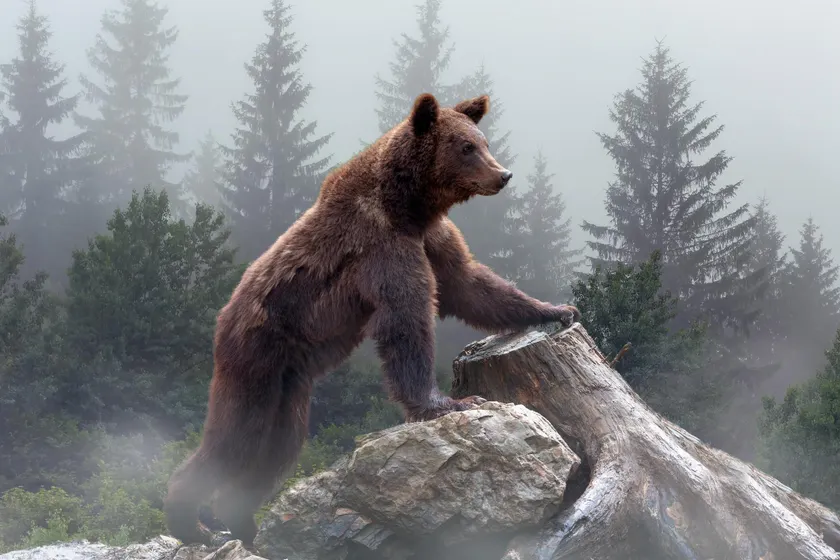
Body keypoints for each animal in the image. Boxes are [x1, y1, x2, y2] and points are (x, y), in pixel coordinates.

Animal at [163, 92, 581, 548]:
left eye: (483, 141)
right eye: (466, 147)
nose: (502, 174)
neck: (408, 205)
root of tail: (224, 317)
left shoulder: (431, 236)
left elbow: (469, 284)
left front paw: (557, 309)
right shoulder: (381, 245)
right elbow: (406, 319)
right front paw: (450, 402)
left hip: (290, 386)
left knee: (279, 447)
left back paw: (241, 520)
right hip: (256, 356)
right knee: (235, 437)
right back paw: (191, 521)